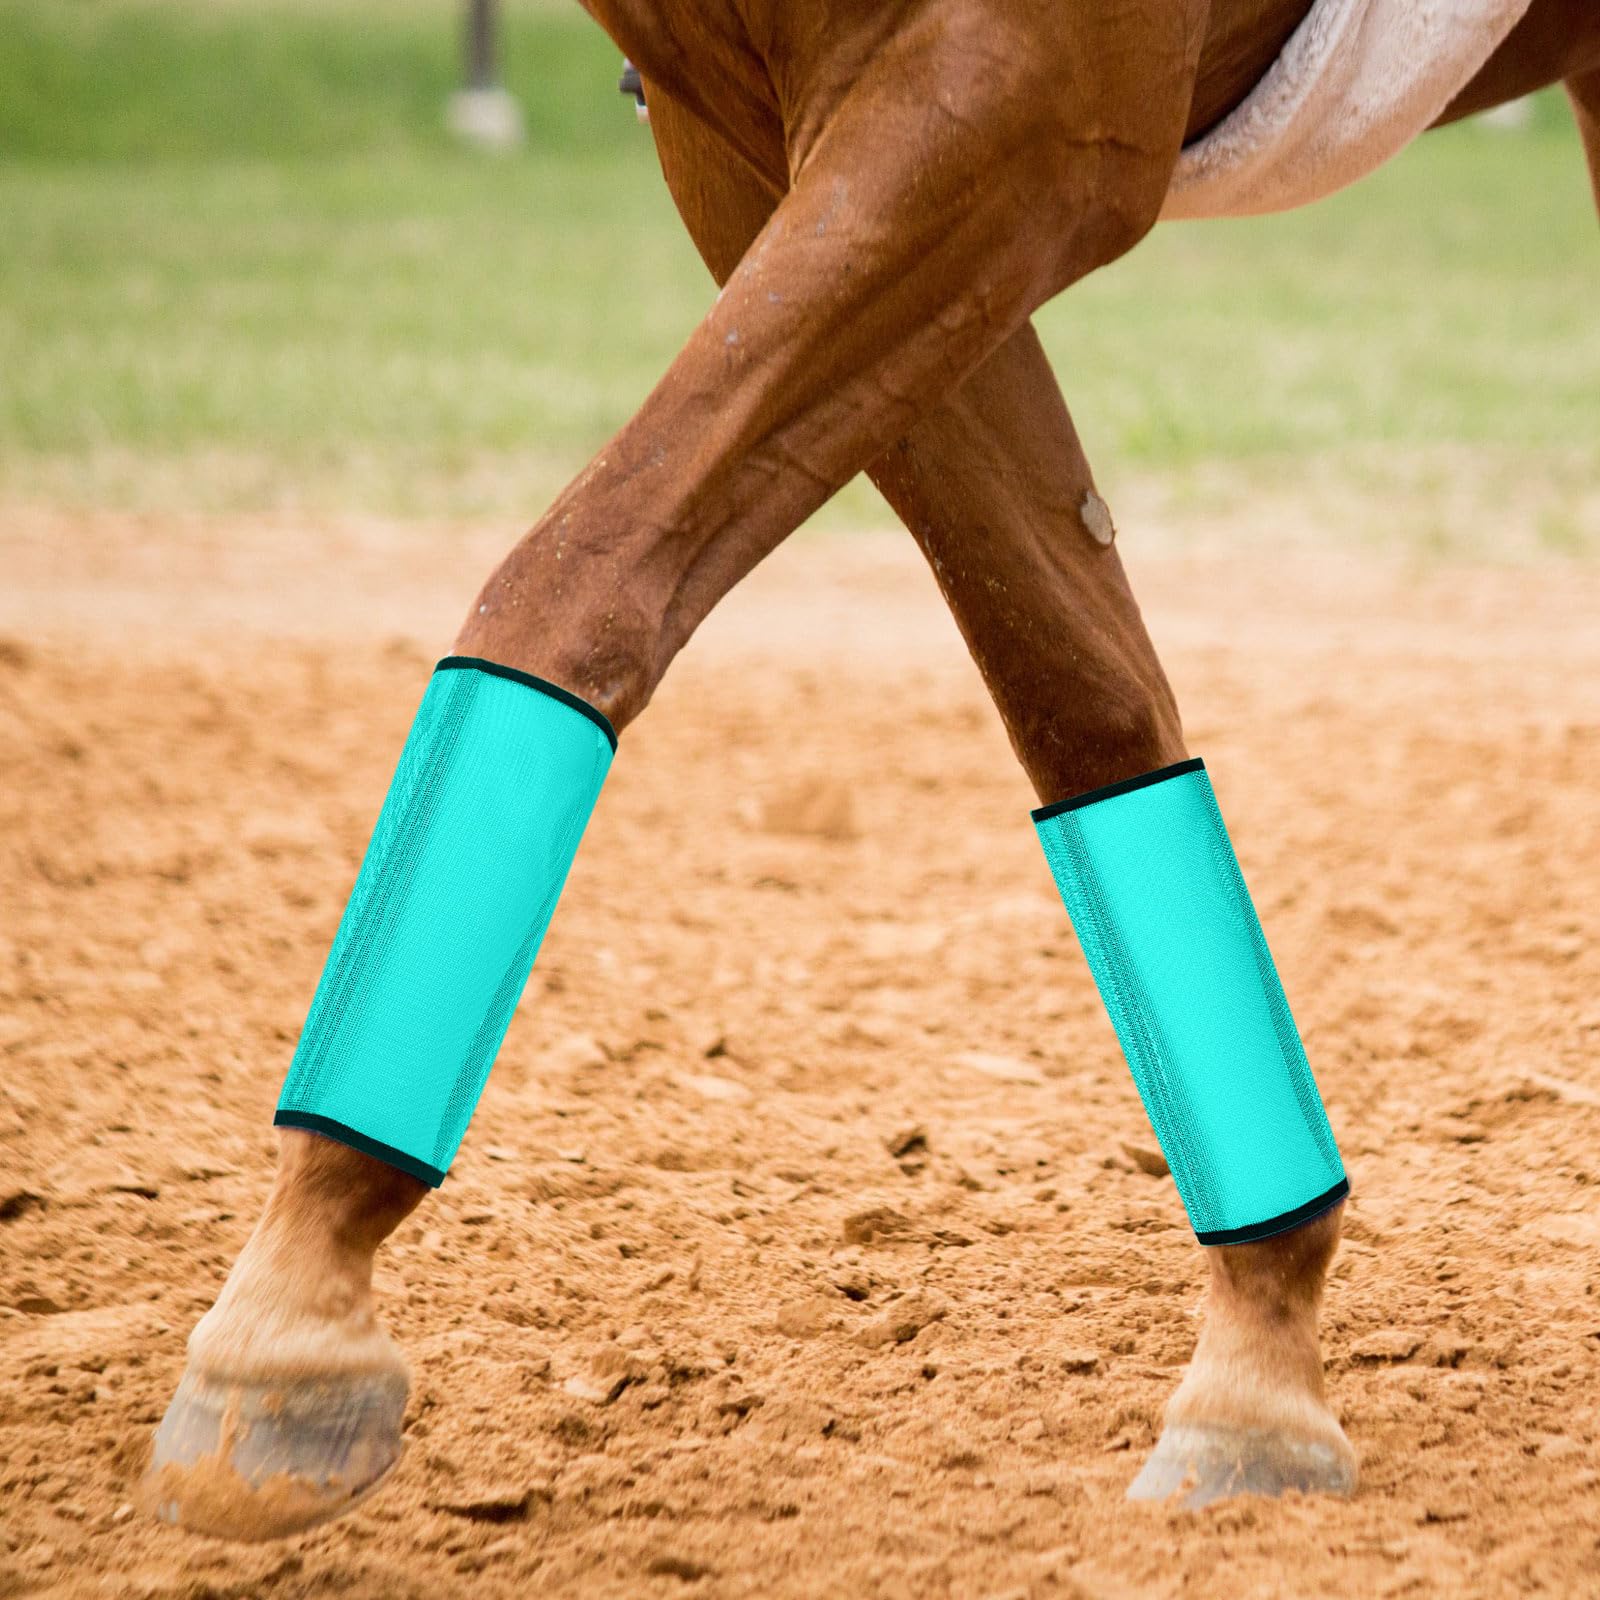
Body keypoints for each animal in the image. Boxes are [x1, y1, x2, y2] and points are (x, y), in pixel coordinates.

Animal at [140, 0, 1600, 1540]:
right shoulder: (752, 150)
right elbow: (1078, 696)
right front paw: (1259, 1362)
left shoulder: (1012, 112)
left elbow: (580, 577)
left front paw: (290, 1323)